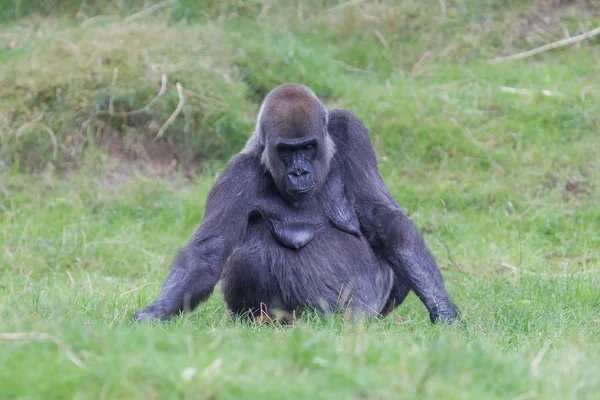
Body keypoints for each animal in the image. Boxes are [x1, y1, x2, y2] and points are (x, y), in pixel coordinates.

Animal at [132, 83, 460, 324]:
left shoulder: (349, 129)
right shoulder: (237, 174)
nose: (299, 172)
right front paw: (157, 310)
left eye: (308, 147)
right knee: (249, 258)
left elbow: (384, 220)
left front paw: (441, 307)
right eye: (286, 151)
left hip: (367, 310)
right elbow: (207, 253)